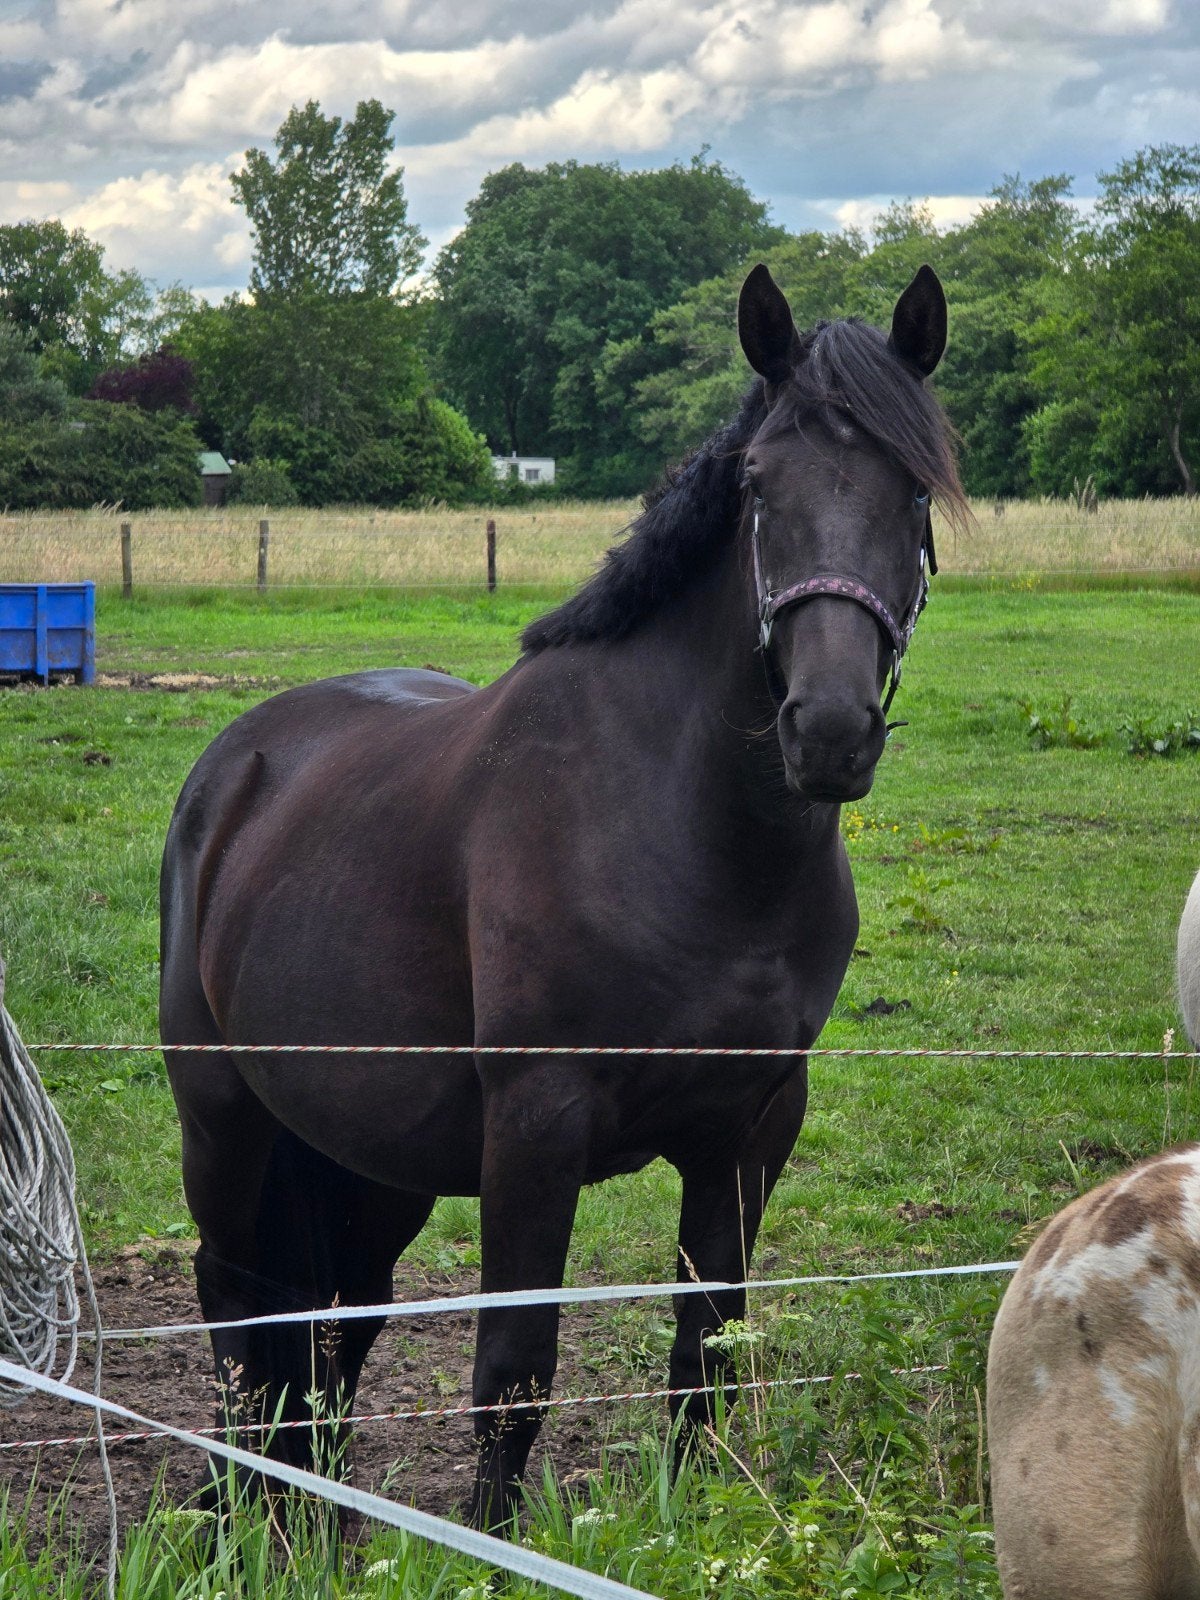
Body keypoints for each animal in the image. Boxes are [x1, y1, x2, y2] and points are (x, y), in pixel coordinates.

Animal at [159, 262, 965, 1529]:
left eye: (915, 488)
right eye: (757, 483)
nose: (830, 731)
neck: (690, 834)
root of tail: (234, 764)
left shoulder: (752, 1128)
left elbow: (705, 1345)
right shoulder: (536, 1129)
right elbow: (514, 1368)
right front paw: (491, 1539)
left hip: (367, 1154)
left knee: (333, 1328)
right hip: (224, 1117)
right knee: (241, 1302)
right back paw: (242, 1509)